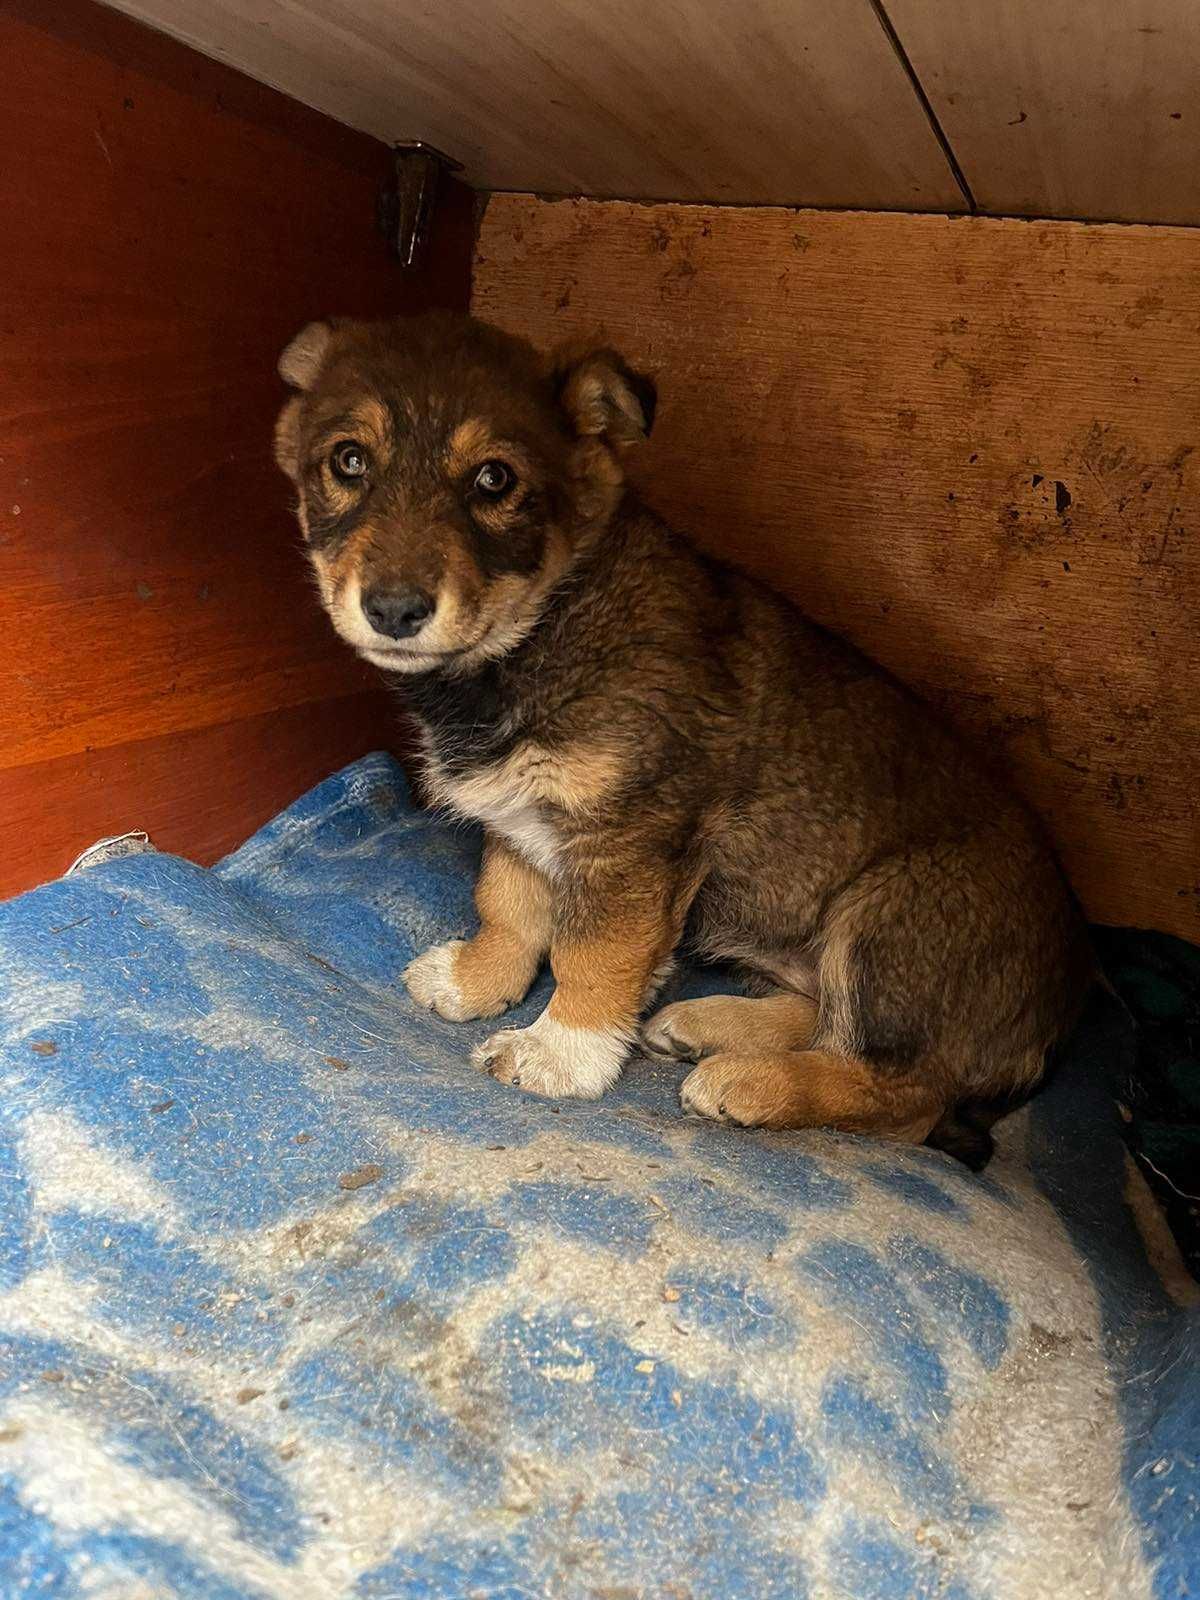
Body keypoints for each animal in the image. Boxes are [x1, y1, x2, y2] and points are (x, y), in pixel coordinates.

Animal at [275, 308, 1100, 1164]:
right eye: (348, 461)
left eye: (494, 480)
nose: (394, 610)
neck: (545, 627)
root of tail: (1072, 1004)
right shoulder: (520, 818)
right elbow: (507, 907)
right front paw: (475, 982)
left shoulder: (633, 840)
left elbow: (591, 955)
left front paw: (558, 1052)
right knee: (821, 1014)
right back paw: (708, 1025)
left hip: (888, 922)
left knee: (904, 1098)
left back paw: (750, 1084)